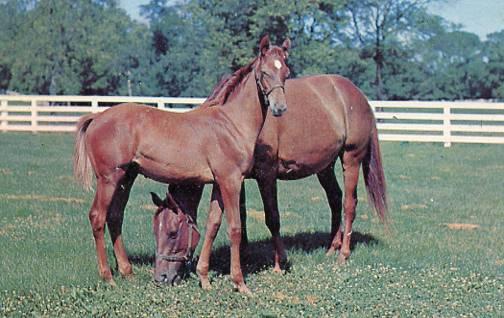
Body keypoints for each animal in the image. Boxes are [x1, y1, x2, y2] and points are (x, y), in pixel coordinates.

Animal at [72, 34, 290, 294]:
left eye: (286, 72)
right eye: (265, 72)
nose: (280, 108)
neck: (230, 124)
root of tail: (96, 118)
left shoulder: (219, 183)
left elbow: (213, 225)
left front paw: (204, 278)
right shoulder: (231, 181)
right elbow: (235, 228)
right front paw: (240, 283)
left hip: (126, 178)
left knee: (115, 216)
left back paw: (127, 272)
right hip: (108, 179)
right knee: (97, 217)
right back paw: (108, 277)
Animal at [158, 73, 390, 278]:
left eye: (172, 232)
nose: (162, 277)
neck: (233, 118)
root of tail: (357, 95)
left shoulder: (266, 175)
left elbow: (273, 218)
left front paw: (279, 264)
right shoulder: (237, 177)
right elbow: (241, 215)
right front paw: (243, 256)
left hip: (351, 159)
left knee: (349, 204)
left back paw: (343, 255)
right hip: (325, 167)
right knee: (334, 198)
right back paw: (332, 247)